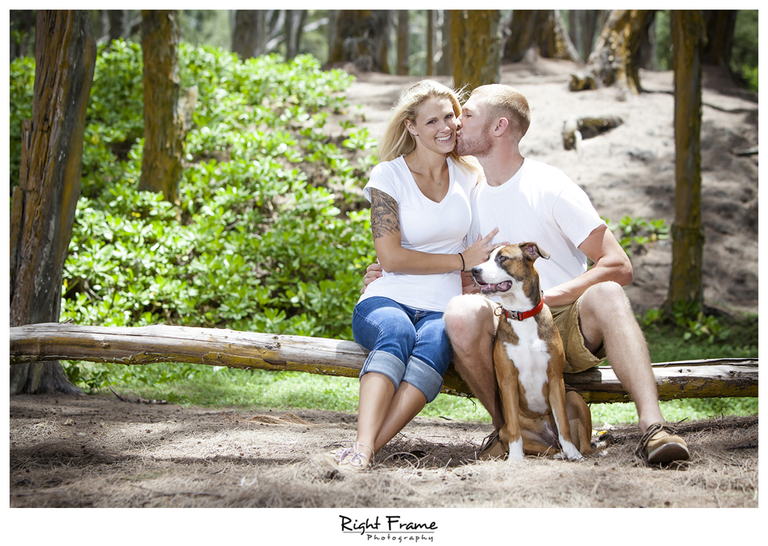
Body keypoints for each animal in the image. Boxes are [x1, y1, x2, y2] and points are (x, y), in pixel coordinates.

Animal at [472, 242, 592, 460]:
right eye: (487, 258)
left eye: (502, 258)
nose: (474, 270)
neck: (522, 315)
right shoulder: (508, 380)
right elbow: (513, 427)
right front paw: (515, 458)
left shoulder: (555, 377)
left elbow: (563, 423)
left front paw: (572, 453)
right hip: (511, 432)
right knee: (548, 448)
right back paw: (554, 453)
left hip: (574, 398)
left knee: (584, 443)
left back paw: (578, 453)